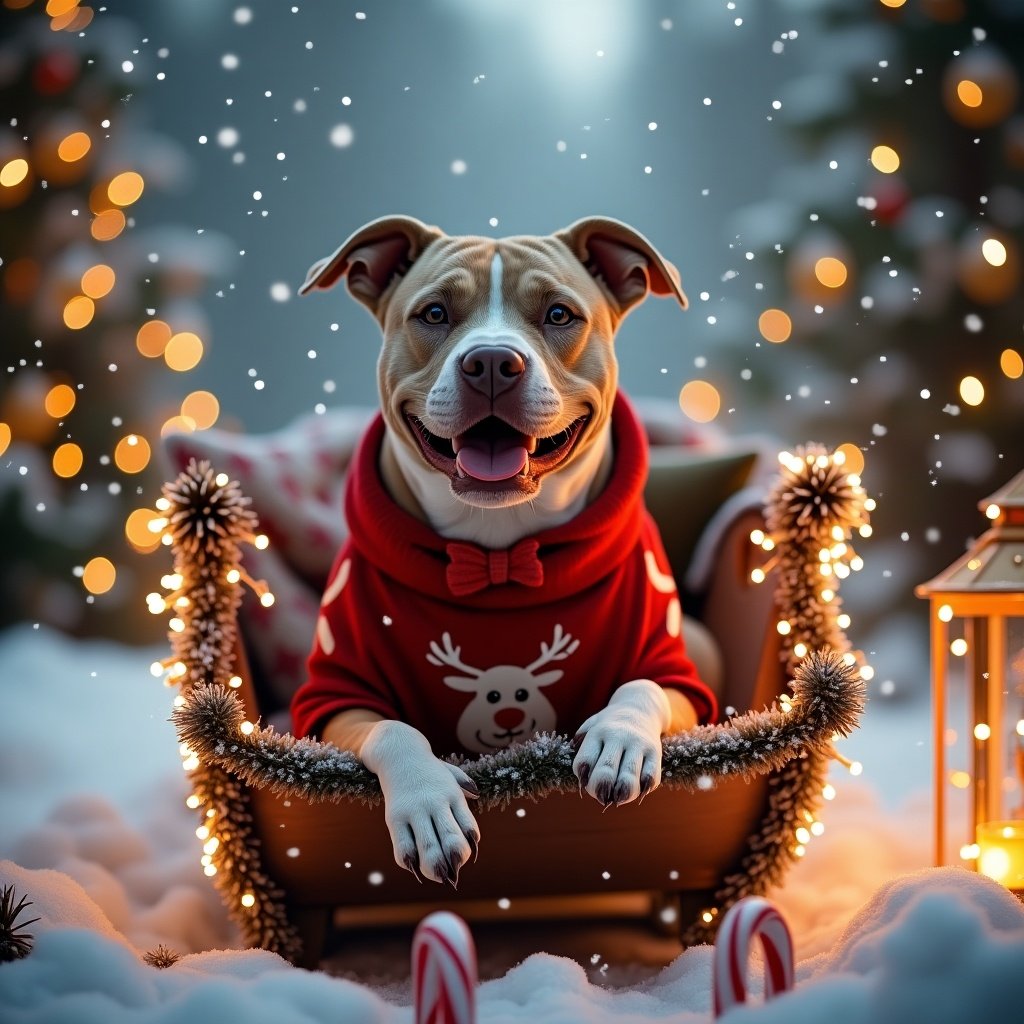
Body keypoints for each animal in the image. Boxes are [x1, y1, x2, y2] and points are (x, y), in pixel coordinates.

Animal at [288, 216, 720, 888]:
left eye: (560, 314)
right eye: (434, 313)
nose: (492, 362)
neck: (498, 549)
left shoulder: (678, 674)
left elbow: (642, 686)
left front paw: (619, 741)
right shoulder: (333, 698)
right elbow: (394, 730)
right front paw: (427, 803)